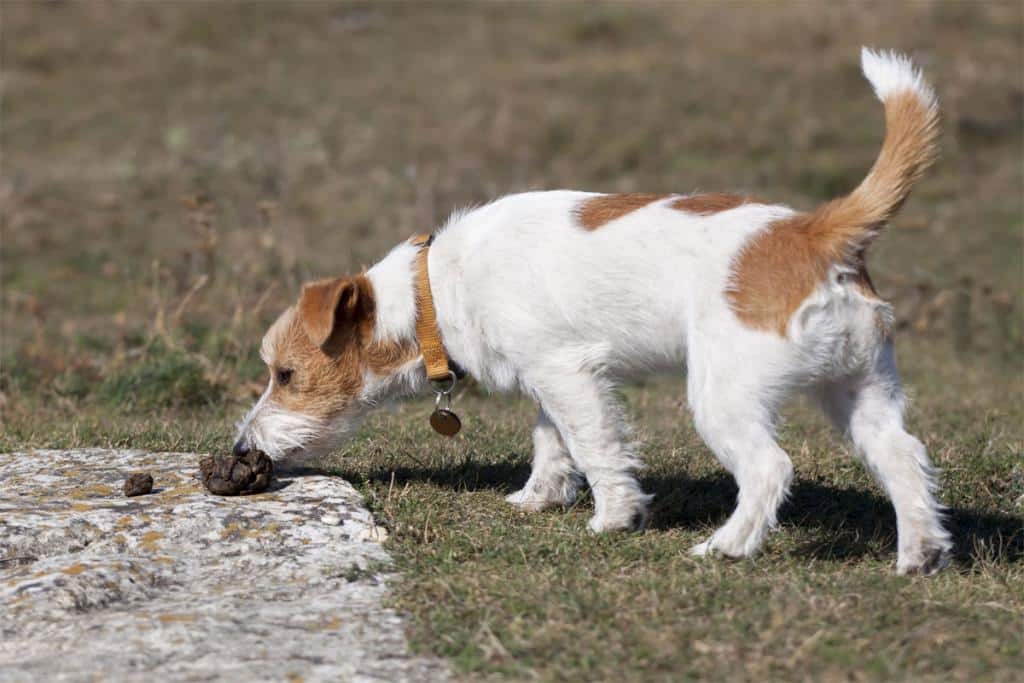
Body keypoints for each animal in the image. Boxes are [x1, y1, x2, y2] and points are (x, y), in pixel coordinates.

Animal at [232, 48, 950, 573]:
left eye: (286, 375)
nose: (240, 447)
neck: (433, 289)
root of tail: (815, 231)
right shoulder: (555, 376)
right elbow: (552, 440)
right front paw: (538, 497)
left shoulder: (567, 374)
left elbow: (596, 445)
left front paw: (613, 517)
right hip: (858, 388)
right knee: (904, 456)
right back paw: (918, 554)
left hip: (724, 394)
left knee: (770, 469)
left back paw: (726, 546)